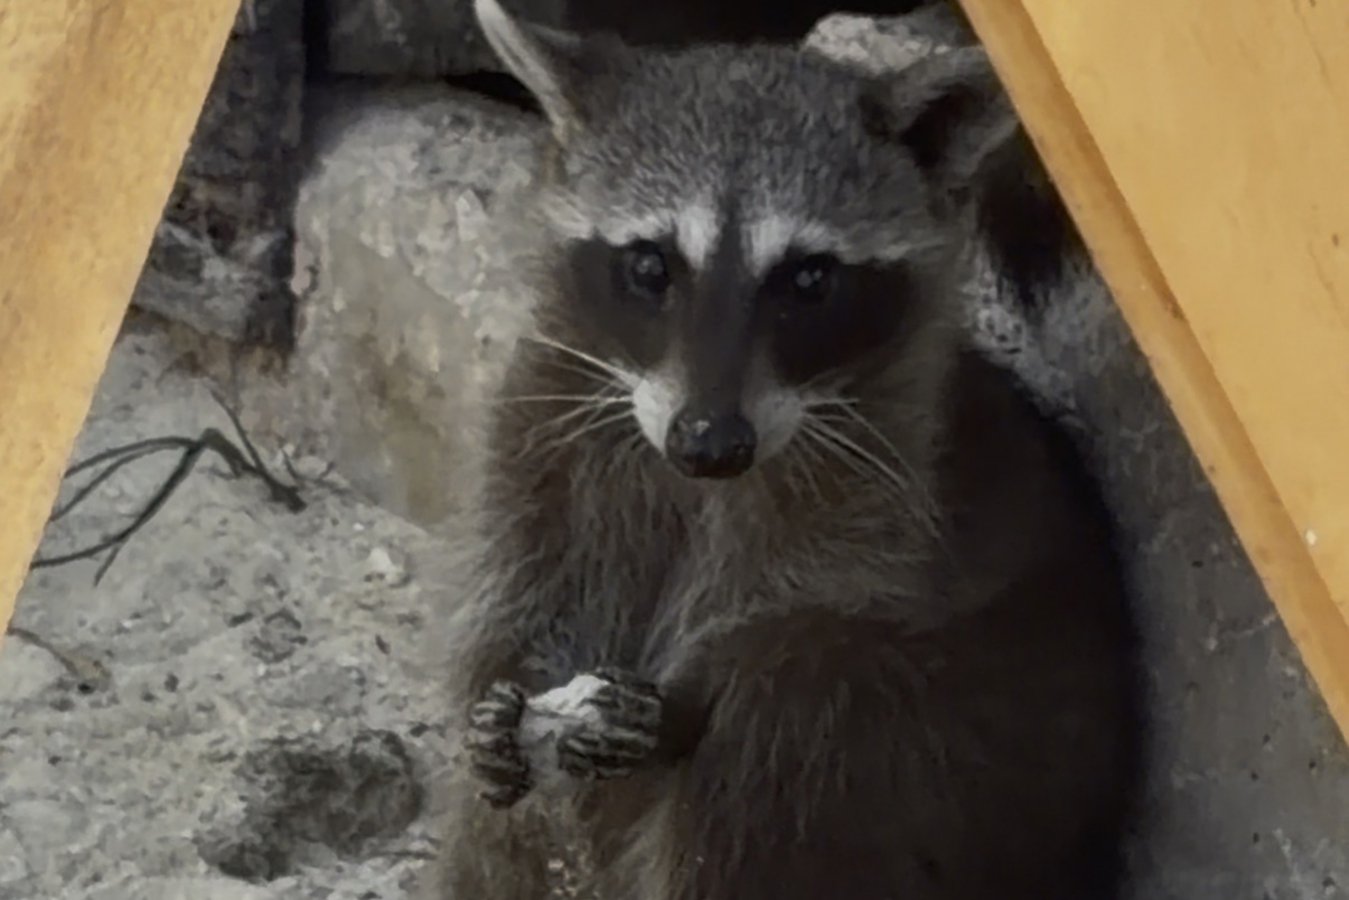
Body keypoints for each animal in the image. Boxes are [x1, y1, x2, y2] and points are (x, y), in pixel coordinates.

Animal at [426, 2, 1142, 898]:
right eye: (650, 265)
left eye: (808, 279)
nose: (709, 443)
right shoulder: (541, 426)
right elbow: (518, 581)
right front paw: (507, 687)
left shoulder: (883, 480)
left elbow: (796, 609)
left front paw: (682, 697)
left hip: (978, 748)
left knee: (786, 729)